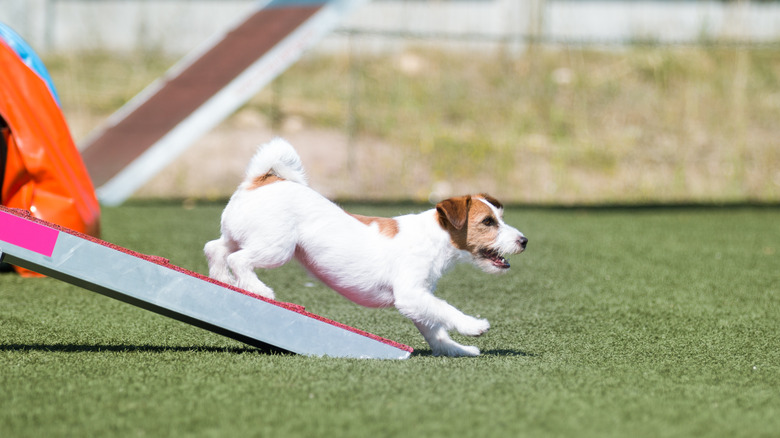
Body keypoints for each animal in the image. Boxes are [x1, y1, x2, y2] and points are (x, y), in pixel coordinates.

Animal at [204, 139, 528, 358]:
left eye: (500, 217)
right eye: (488, 222)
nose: (524, 240)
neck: (435, 237)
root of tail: (260, 180)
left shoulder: (418, 300)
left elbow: (435, 329)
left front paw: (457, 349)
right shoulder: (411, 295)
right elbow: (445, 309)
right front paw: (474, 325)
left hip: (240, 234)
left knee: (215, 249)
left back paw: (222, 280)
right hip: (277, 248)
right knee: (239, 259)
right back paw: (258, 290)